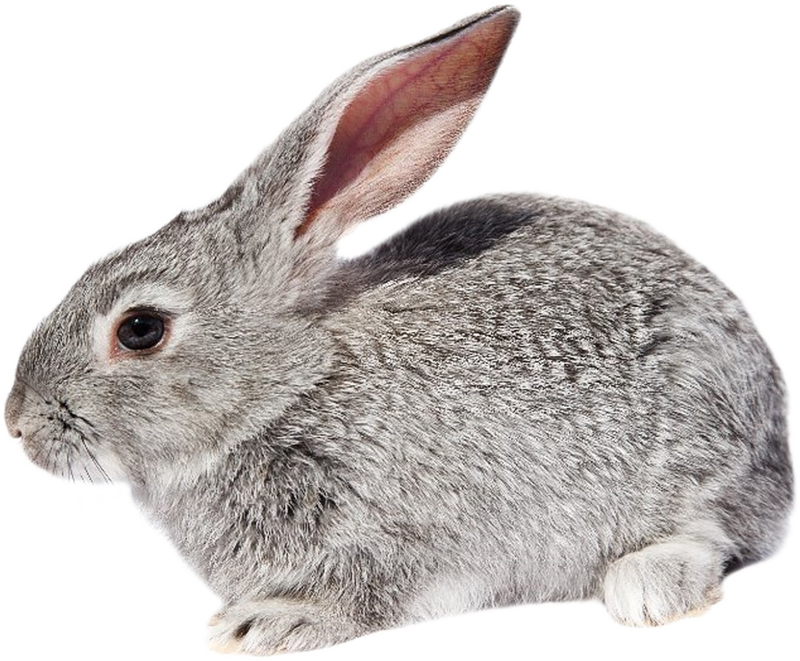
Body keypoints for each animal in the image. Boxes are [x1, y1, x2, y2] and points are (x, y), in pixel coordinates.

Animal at [2, 0, 797, 657]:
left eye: (140, 329)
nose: (17, 423)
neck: (291, 386)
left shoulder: (401, 537)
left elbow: (365, 591)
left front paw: (261, 625)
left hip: (701, 430)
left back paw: (646, 586)